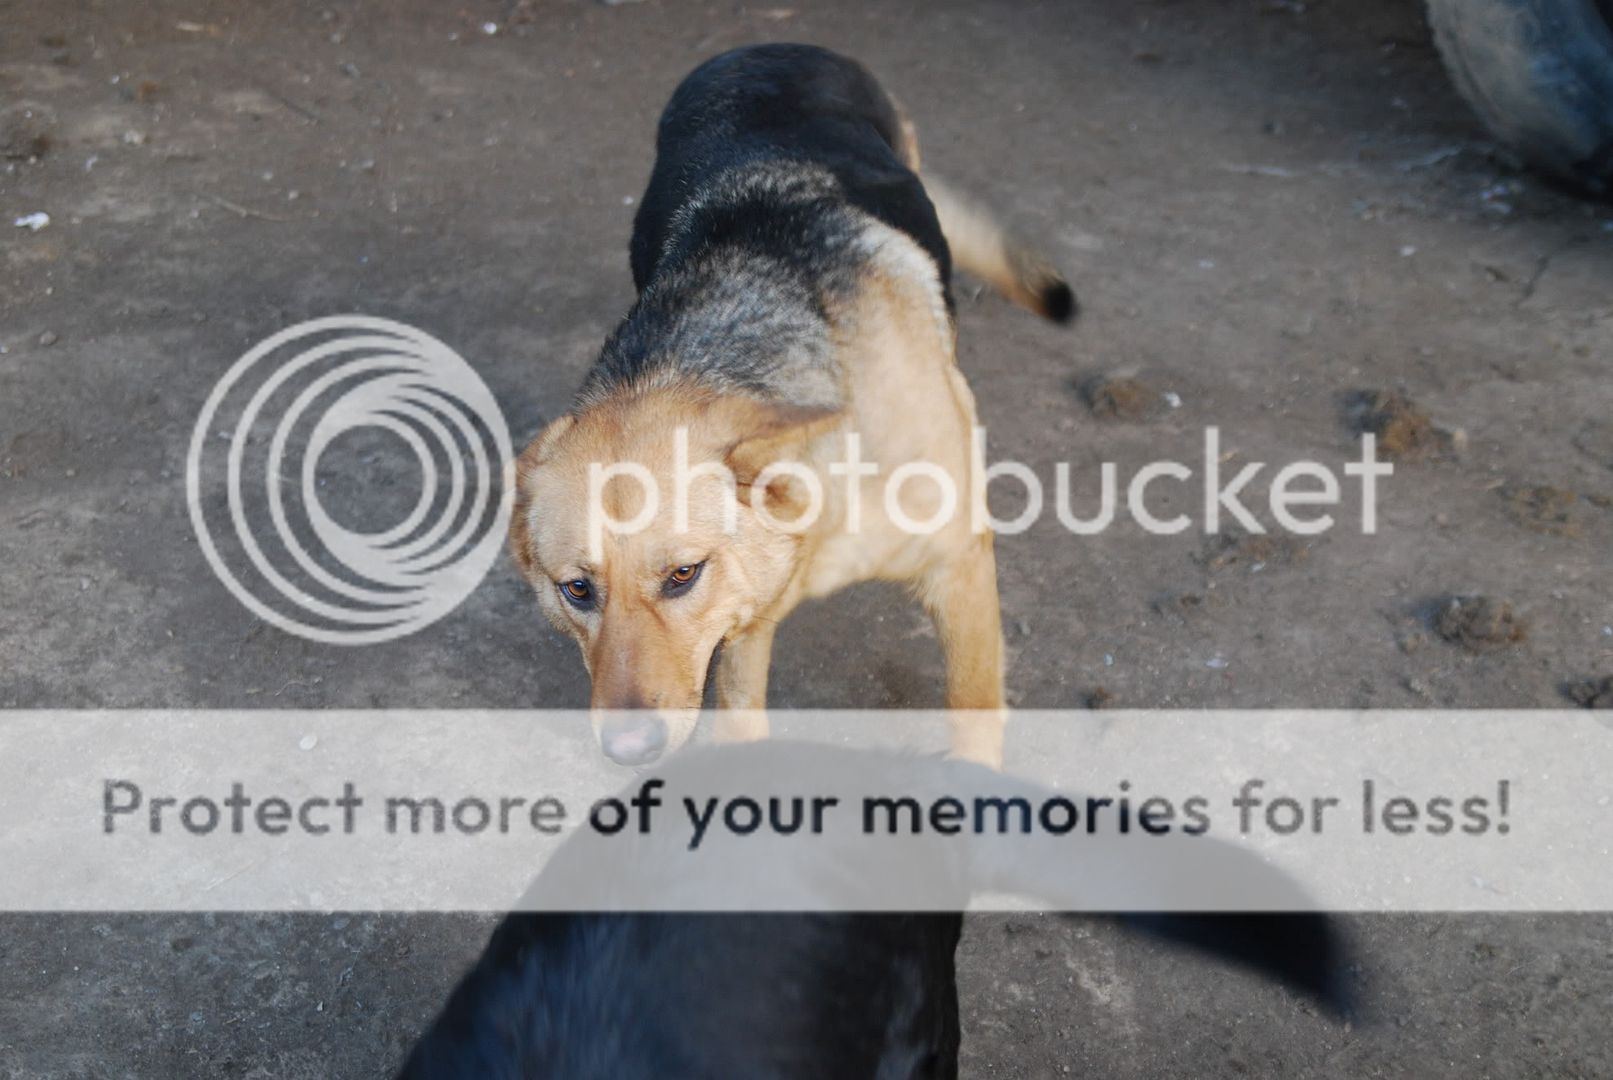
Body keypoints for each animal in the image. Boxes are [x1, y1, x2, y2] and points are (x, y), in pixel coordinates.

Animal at [509, 44, 1077, 770]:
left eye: (683, 574)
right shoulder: (745, 620)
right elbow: (740, 724)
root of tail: (771, 48)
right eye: (577, 590)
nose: (628, 750)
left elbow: (973, 709)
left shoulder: (960, 569)